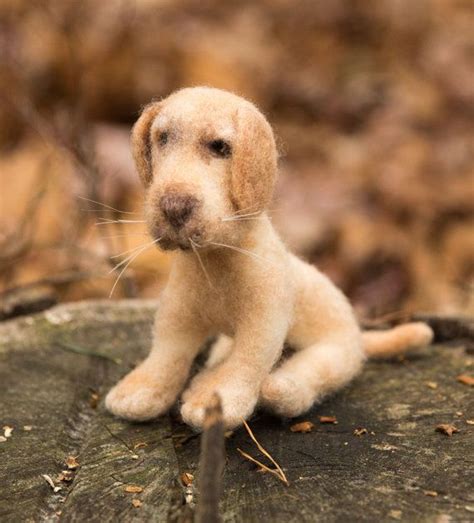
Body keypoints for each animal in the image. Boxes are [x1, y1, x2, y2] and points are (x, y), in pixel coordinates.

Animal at [105, 87, 436, 430]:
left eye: (220, 147)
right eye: (163, 138)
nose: (173, 207)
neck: (215, 260)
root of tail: (358, 334)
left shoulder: (263, 321)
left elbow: (247, 361)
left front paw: (219, 400)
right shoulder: (177, 316)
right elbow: (167, 355)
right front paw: (139, 391)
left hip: (333, 352)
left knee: (302, 381)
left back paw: (277, 388)